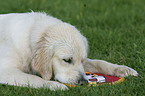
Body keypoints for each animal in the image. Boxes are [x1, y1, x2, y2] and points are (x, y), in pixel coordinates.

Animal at [0, 12, 138, 90]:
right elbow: (32, 78)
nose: (83, 82)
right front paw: (54, 85)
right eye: (66, 60)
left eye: (82, 61)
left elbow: (99, 62)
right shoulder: (5, 70)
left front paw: (122, 69)